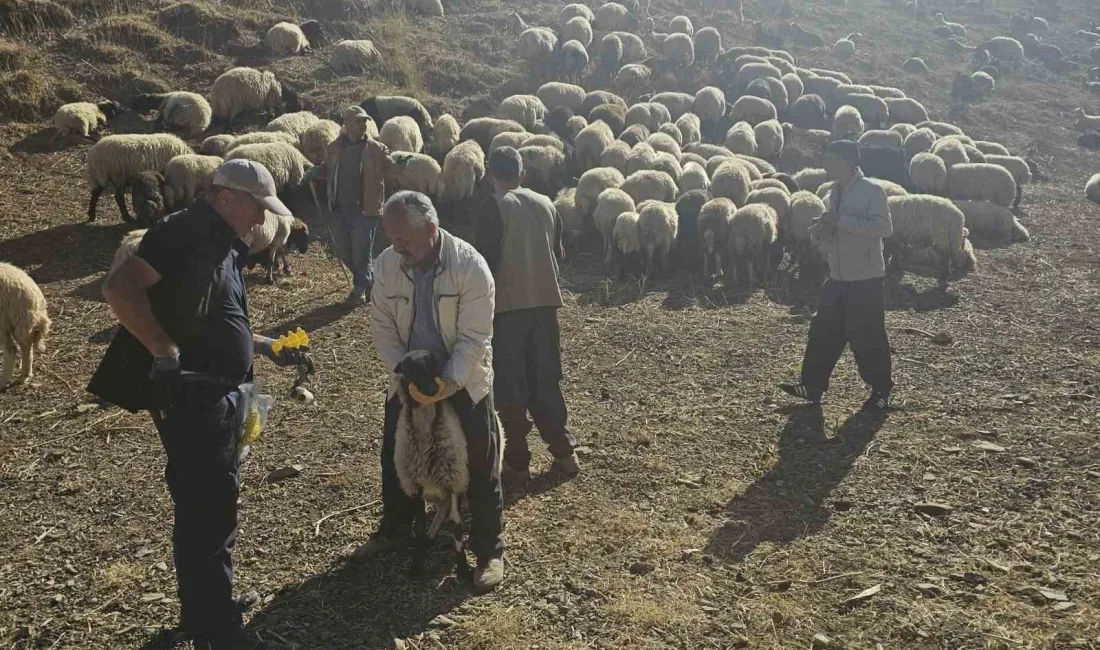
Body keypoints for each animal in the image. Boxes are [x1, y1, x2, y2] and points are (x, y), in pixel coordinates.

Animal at [0, 261, 50, 389]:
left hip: (6, 323)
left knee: (11, 349)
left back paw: (4, 381)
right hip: (18, 325)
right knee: (26, 347)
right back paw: (25, 376)